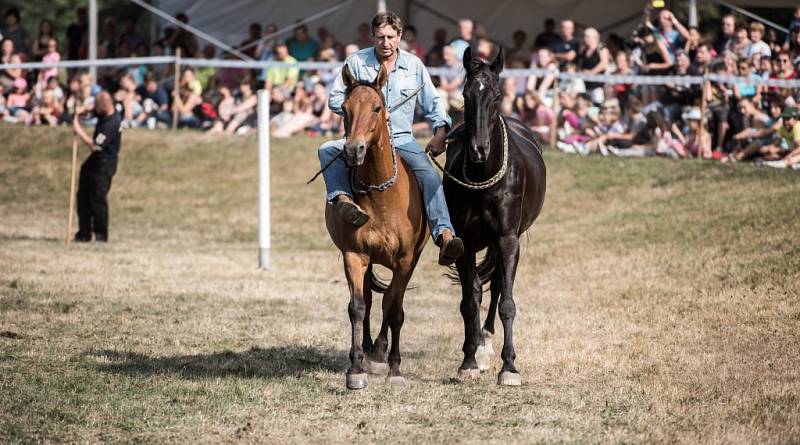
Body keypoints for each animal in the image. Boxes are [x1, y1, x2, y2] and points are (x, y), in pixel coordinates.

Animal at [322, 63, 428, 388]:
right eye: (344, 108)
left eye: (377, 108)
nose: (353, 150)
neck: (382, 196)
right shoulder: (355, 255)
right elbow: (357, 307)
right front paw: (356, 368)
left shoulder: (406, 260)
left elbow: (394, 310)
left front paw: (394, 368)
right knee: (369, 301)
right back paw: (369, 349)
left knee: (389, 301)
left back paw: (380, 351)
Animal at [440, 46, 548, 386]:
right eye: (465, 94)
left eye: (497, 95)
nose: (478, 149)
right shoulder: (465, 242)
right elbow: (469, 301)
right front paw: (468, 361)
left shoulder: (507, 239)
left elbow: (507, 302)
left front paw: (509, 367)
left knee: (500, 284)